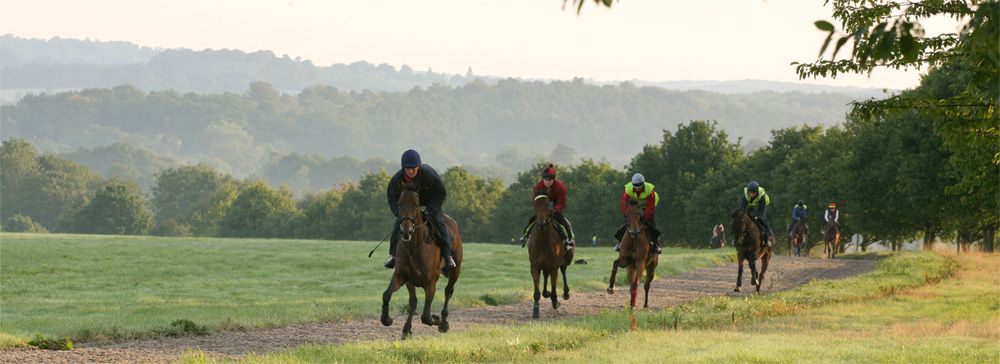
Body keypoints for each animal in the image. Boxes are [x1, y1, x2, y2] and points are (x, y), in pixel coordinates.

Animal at [380, 183, 462, 340]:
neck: (414, 248)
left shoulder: (431, 283)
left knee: (449, 291)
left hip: (456, 269)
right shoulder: (404, 277)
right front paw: (390, 321)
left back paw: (444, 323)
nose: (406, 231)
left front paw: (436, 319)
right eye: (399, 204)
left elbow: (425, 316)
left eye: (416, 205)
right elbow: (391, 296)